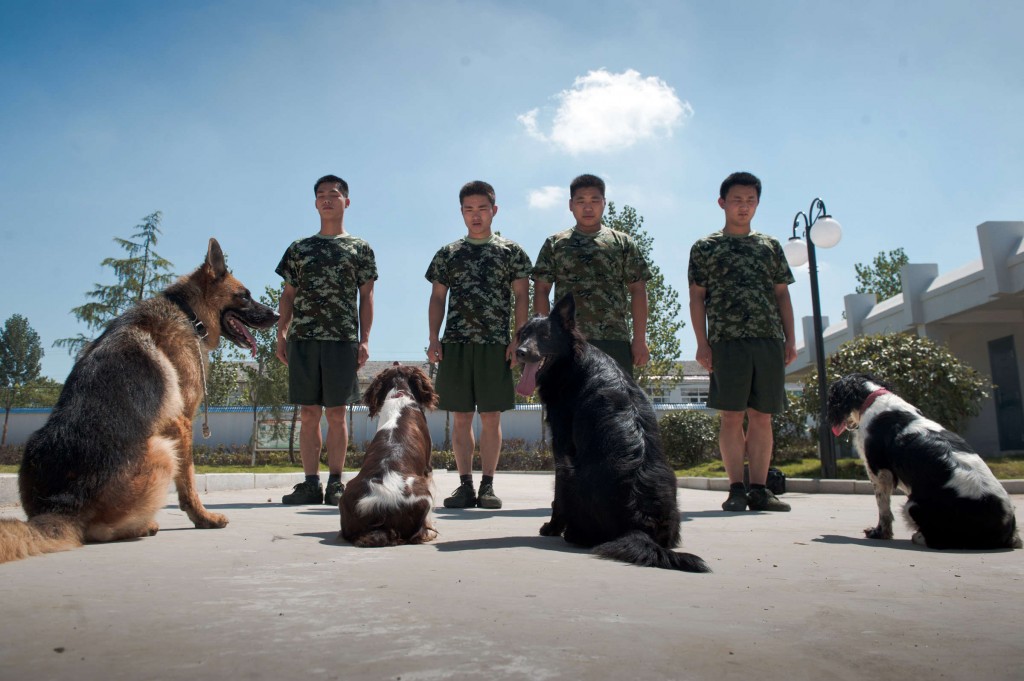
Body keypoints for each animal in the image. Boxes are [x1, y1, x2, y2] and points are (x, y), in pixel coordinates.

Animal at [516, 294, 708, 569]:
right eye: (523, 335)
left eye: (544, 336)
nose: (520, 352)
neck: (573, 362)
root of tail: (639, 524)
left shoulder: (561, 447)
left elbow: (557, 496)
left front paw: (552, 527)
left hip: (570, 469)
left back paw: (572, 533)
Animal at [827, 372, 1019, 548]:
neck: (872, 398)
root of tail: (1007, 529)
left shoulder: (879, 472)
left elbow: (883, 508)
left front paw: (880, 532)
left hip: (913, 505)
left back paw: (918, 537)